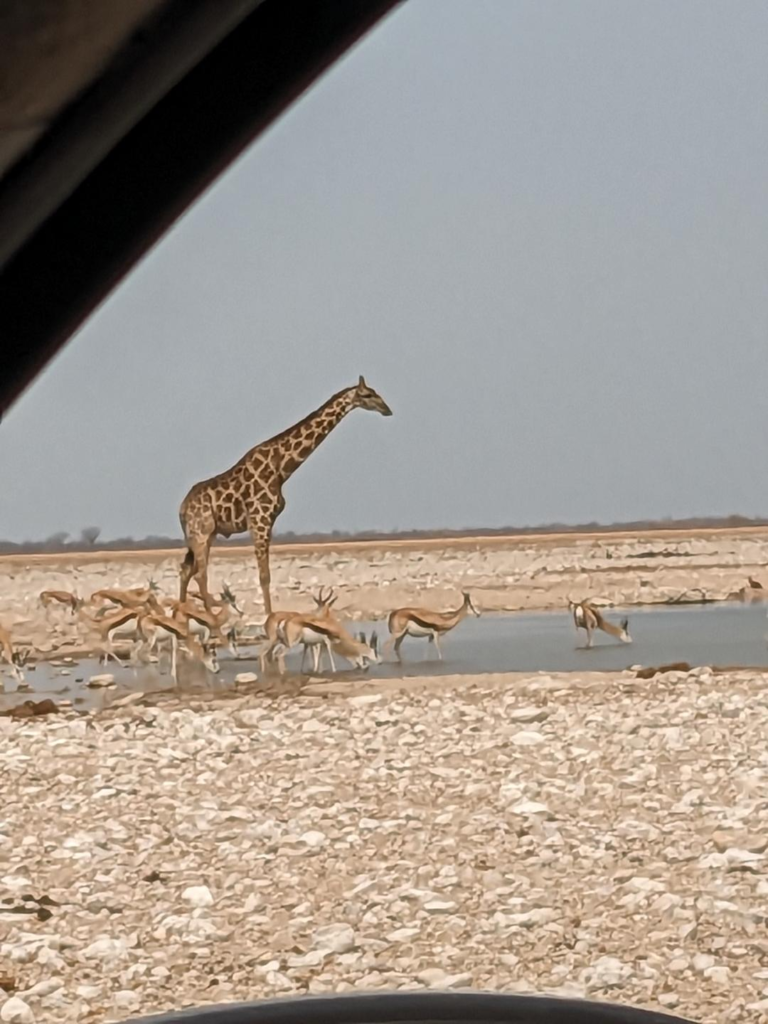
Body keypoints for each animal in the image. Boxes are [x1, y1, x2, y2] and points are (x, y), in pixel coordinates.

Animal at [179, 378, 391, 610]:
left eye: (375, 393)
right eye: (367, 395)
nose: (387, 409)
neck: (281, 468)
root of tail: (182, 508)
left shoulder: (267, 523)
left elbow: (265, 575)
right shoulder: (260, 521)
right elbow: (264, 577)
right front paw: (269, 616)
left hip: (204, 535)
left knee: (186, 570)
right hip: (201, 533)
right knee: (199, 574)